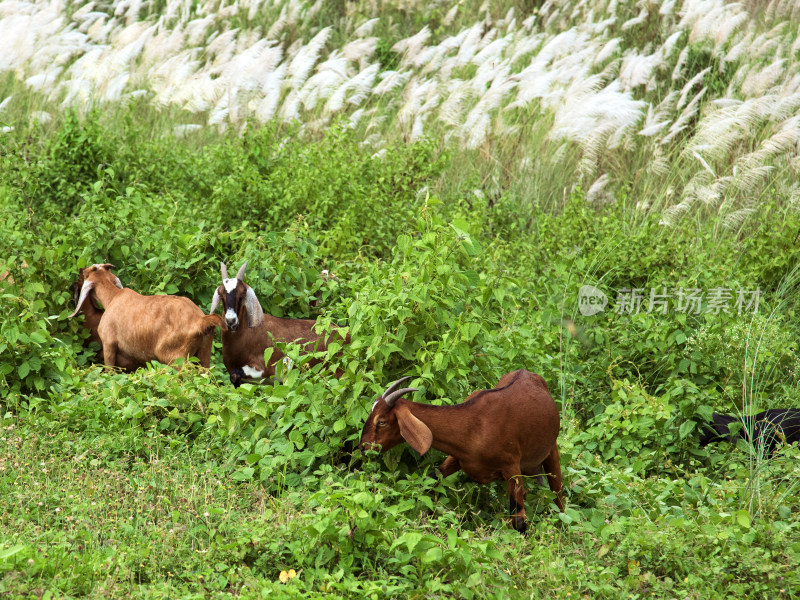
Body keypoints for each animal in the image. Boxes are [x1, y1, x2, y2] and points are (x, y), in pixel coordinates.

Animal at [69, 264, 225, 368]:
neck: (113, 297)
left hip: (175, 357)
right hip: (204, 354)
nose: (80, 270)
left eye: (85, 274)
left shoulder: (108, 343)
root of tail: (201, 320)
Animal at [360, 370, 564, 536]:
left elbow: (519, 518)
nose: (363, 447)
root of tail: (529, 373)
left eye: (382, 421)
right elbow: (432, 481)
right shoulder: (459, 458)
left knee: (558, 497)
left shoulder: (512, 466)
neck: (475, 425)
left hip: (551, 451)